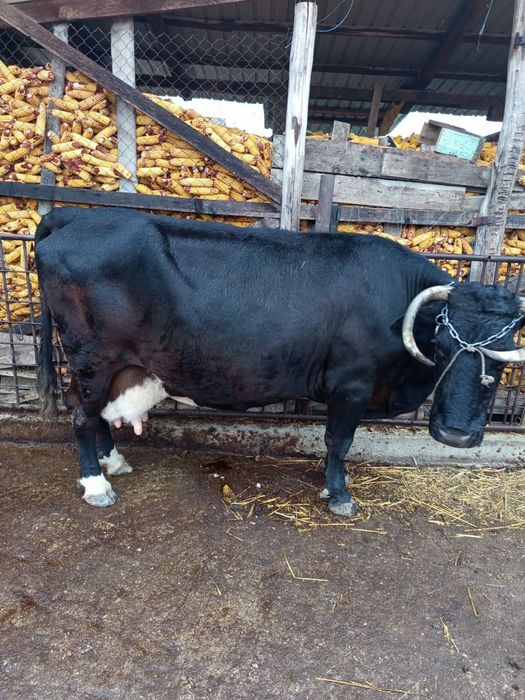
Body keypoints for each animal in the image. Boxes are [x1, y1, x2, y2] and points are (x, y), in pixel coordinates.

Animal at [35, 206, 525, 515]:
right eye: (441, 346)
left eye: (502, 358)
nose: (455, 435)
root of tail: (75, 216)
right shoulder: (352, 383)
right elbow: (339, 441)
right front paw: (339, 495)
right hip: (92, 357)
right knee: (81, 416)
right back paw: (96, 484)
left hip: (107, 365)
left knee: (94, 413)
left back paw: (113, 462)